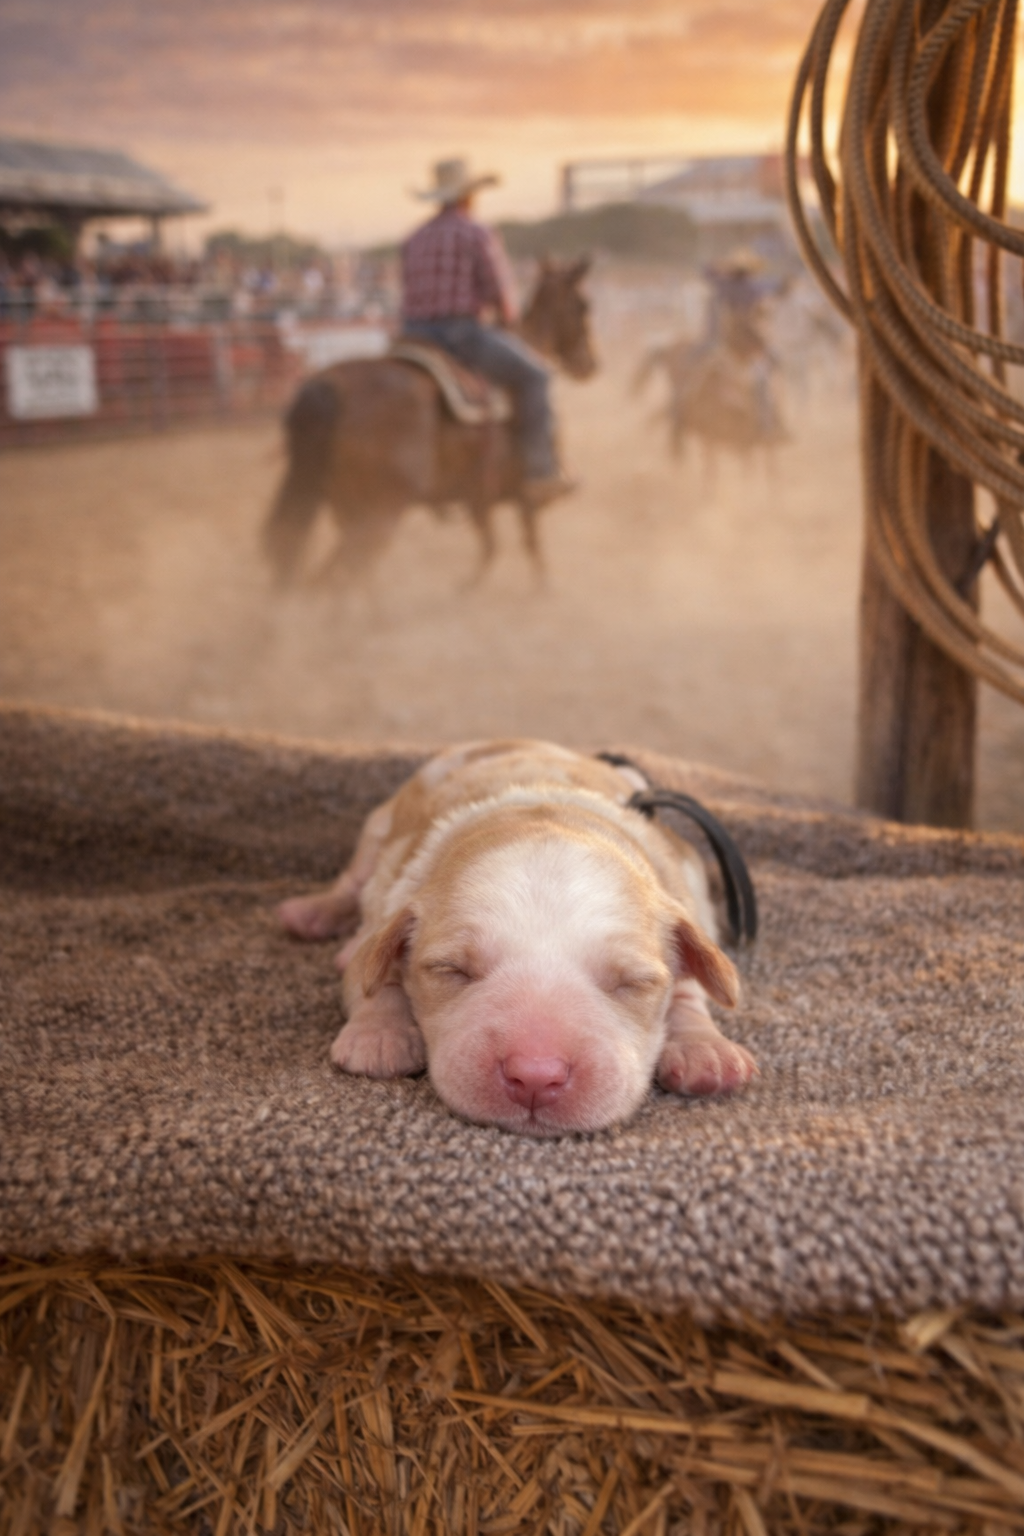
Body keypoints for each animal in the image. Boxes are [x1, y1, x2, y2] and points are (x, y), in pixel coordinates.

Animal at [263, 258, 596, 588]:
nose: (592, 363)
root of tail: (329, 388)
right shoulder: (524, 495)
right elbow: (530, 542)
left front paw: (468, 586)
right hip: (378, 514)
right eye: (583, 305)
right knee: (341, 575)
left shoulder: (479, 495)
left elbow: (490, 544)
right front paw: (541, 586)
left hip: (347, 509)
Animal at [278, 740, 756, 1135]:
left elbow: (689, 990)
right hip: (377, 830)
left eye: (634, 983)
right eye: (451, 969)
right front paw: (378, 1036)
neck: (543, 807)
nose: (535, 1076)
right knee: (350, 882)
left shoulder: (688, 895)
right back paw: (314, 916)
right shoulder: (388, 899)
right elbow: (371, 974)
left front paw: (704, 1050)